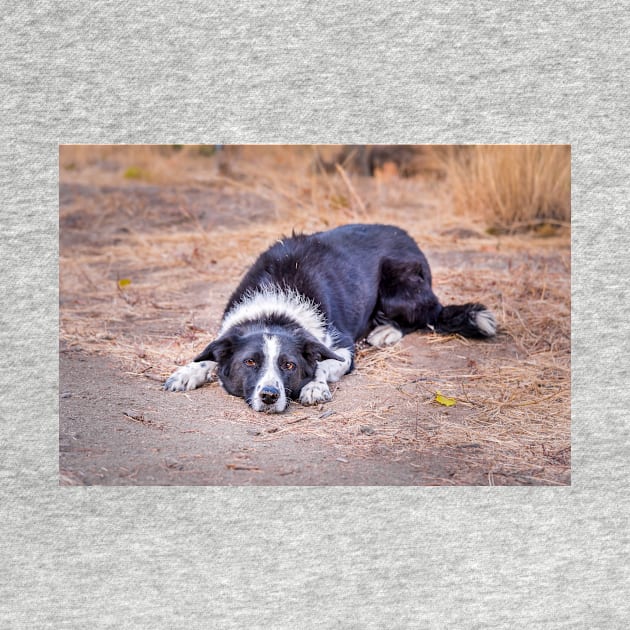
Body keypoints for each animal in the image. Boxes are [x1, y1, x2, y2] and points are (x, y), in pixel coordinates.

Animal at [164, 225, 498, 412]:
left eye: (289, 365)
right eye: (249, 362)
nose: (270, 396)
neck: (275, 309)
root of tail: (408, 238)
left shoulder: (343, 346)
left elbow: (325, 363)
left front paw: (314, 386)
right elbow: (208, 355)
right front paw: (188, 371)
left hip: (400, 288)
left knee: (426, 315)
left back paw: (385, 331)